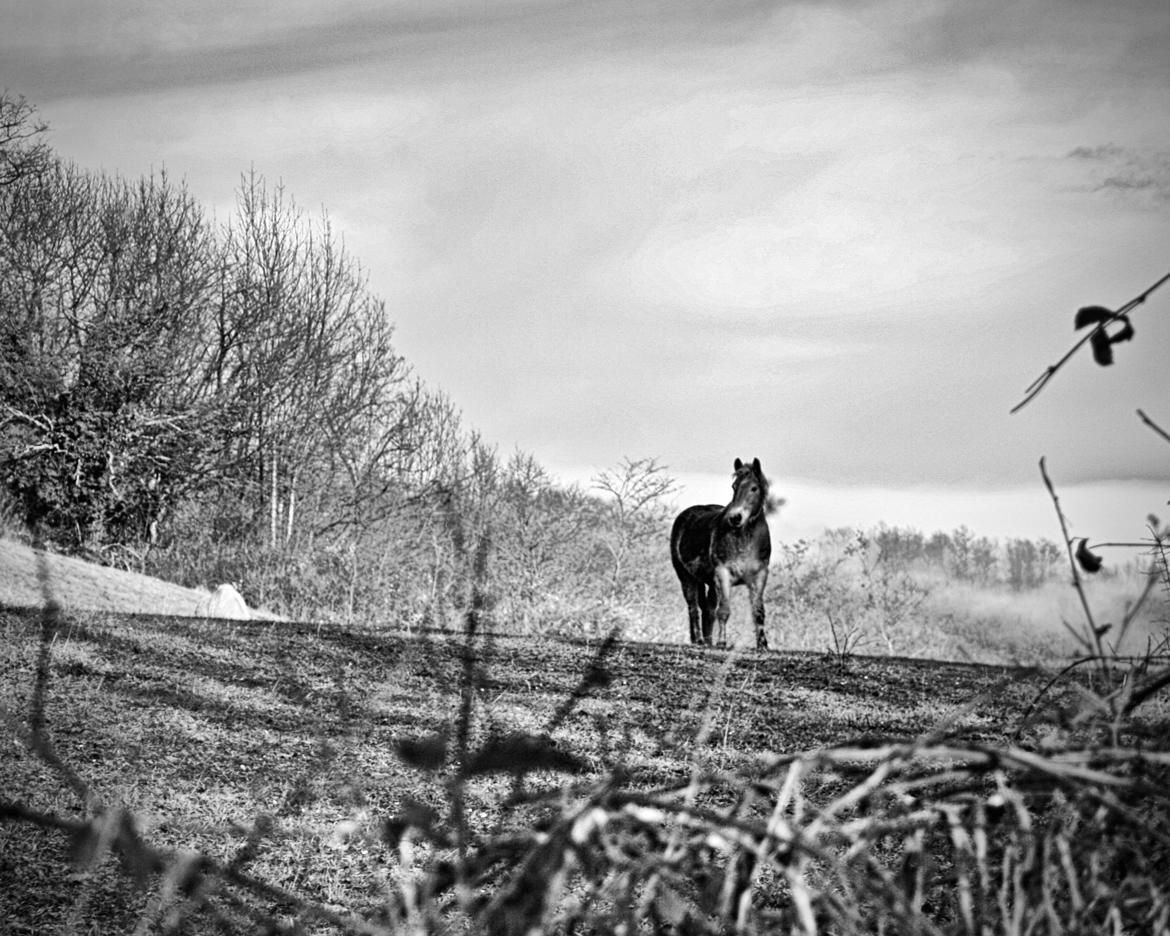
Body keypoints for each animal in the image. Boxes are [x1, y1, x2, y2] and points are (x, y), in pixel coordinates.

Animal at [673, 456, 772, 645]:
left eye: (754, 488)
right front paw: (722, 643)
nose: (735, 518)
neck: (745, 542)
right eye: (734, 486)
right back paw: (699, 640)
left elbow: (758, 612)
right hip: (687, 578)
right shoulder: (723, 574)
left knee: (708, 611)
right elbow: (724, 610)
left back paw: (707, 641)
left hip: (709, 583)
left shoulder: (759, 576)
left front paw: (763, 645)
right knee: (694, 609)